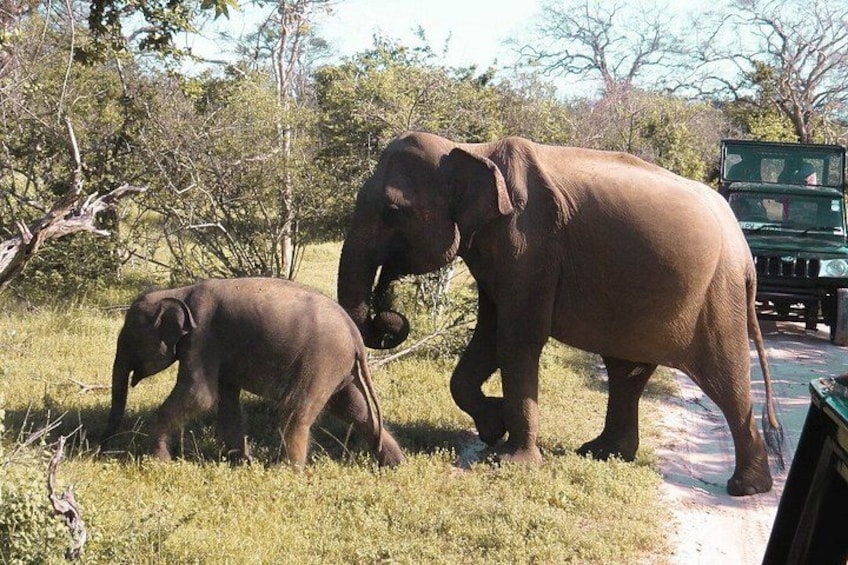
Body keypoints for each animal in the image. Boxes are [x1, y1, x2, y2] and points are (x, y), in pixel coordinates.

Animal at [100, 277, 405, 468]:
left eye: (130, 340)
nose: (101, 447)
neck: (179, 292)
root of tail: (355, 334)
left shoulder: (201, 339)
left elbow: (199, 395)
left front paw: (158, 462)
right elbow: (225, 401)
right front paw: (239, 462)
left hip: (321, 360)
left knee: (296, 410)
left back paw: (285, 471)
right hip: (337, 367)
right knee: (354, 409)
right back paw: (395, 464)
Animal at [337, 131, 783, 496]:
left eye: (392, 212)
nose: (388, 315)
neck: (470, 149)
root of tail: (744, 253)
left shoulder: (530, 243)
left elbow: (516, 338)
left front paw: (511, 461)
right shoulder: (500, 251)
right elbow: (489, 334)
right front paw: (493, 426)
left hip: (718, 296)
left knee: (725, 380)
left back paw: (746, 488)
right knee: (627, 373)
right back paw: (601, 453)